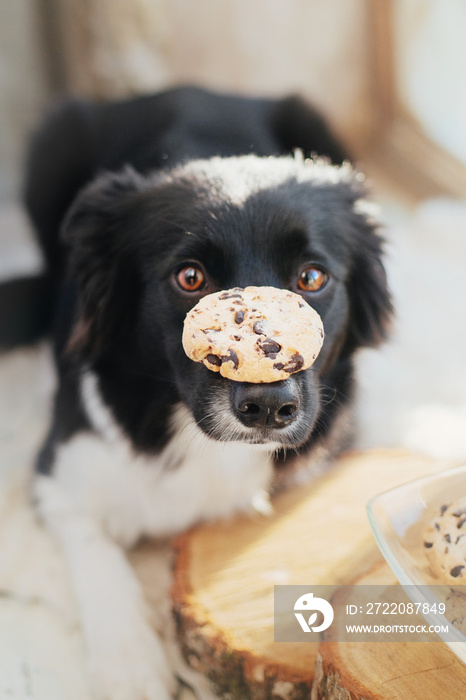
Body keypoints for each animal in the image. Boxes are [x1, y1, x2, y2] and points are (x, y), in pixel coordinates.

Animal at [1, 87, 392, 700]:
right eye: (190, 279)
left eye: (311, 278)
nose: (268, 409)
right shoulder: (60, 475)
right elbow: (98, 557)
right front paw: (131, 665)